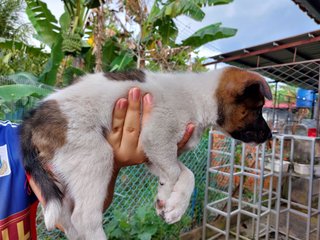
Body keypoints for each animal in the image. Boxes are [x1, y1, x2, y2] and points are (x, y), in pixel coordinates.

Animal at [18, 66, 272, 239]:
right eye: (258, 108)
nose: (271, 136)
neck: (198, 98)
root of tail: (33, 119)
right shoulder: (157, 138)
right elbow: (175, 173)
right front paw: (169, 200)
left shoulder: (154, 153)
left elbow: (186, 174)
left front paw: (170, 201)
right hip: (94, 156)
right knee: (84, 218)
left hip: (69, 170)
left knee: (66, 216)